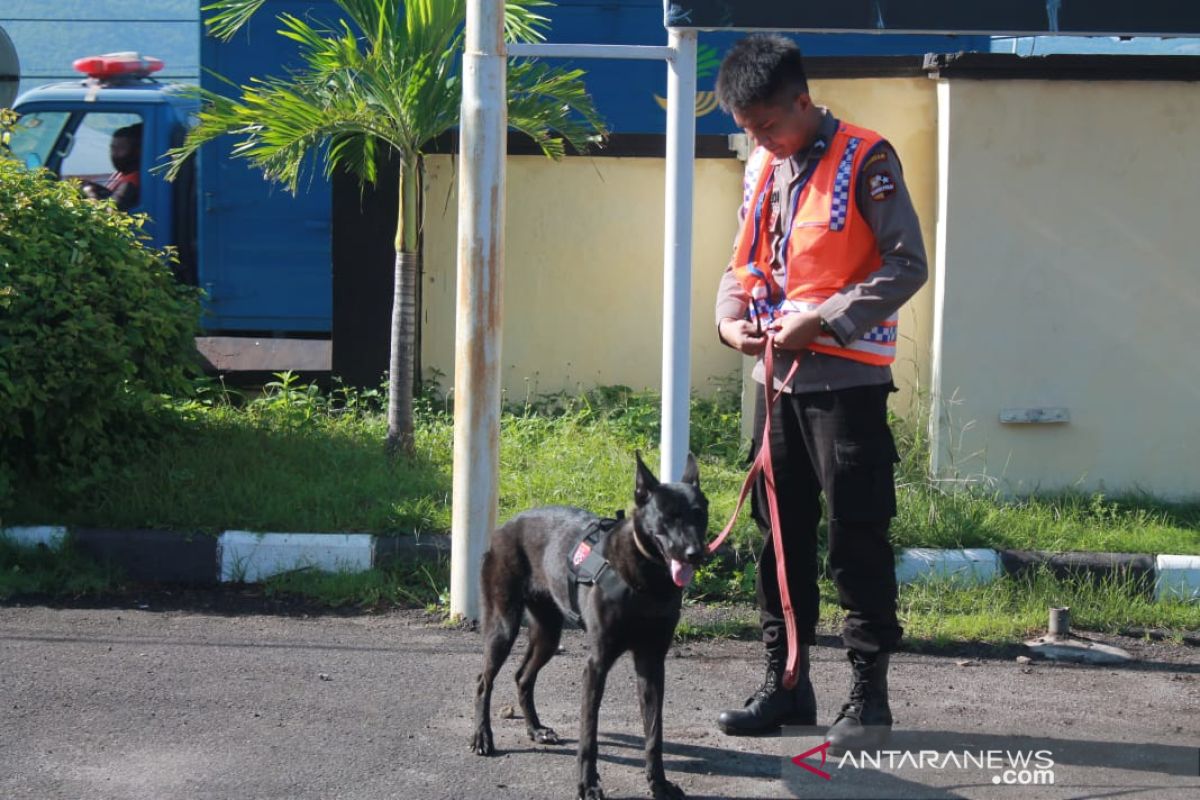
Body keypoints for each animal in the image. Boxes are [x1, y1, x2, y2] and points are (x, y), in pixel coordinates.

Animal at [470, 453, 710, 796]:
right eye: (668, 517)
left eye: (699, 514)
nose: (696, 554)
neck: (646, 577)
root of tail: (504, 526)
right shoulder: (596, 665)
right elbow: (589, 734)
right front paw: (587, 784)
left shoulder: (651, 663)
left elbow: (654, 733)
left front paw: (658, 783)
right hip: (503, 626)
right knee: (483, 681)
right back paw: (483, 736)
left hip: (548, 634)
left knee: (522, 676)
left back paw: (536, 729)